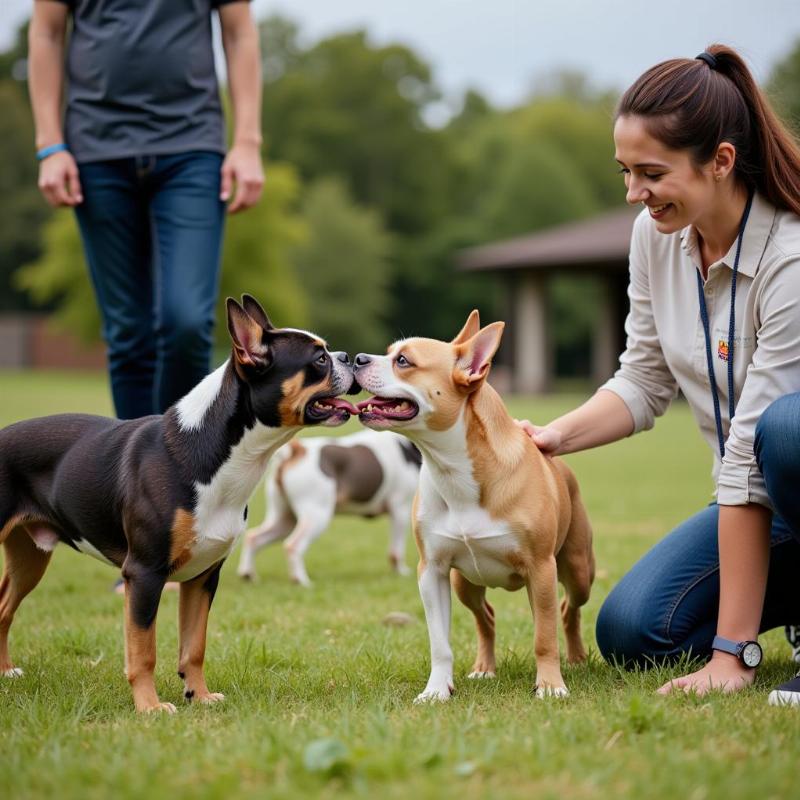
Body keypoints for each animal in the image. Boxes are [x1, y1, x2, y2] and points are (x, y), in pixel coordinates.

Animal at [0, 296, 356, 712]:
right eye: (319, 359)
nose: (348, 357)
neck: (216, 452)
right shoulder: (144, 574)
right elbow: (144, 650)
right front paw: (150, 708)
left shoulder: (203, 577)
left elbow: (193, 647)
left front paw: (199, 696)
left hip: (30, 558)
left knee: (4, 609)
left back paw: (5, 672)